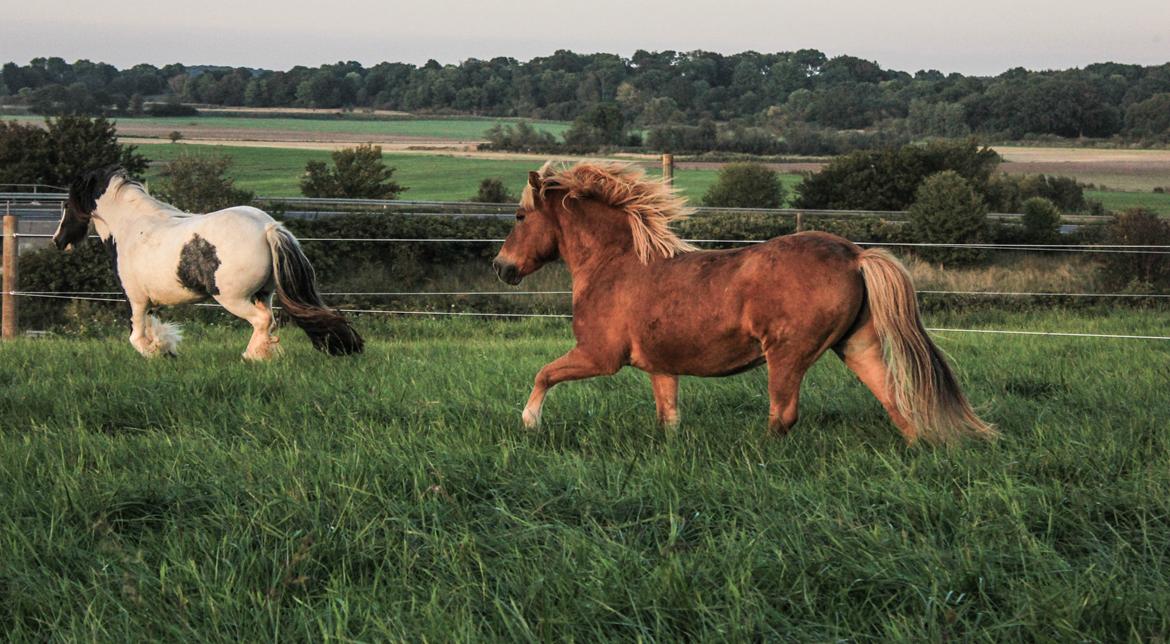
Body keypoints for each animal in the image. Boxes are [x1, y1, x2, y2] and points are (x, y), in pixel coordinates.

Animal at [51, 165, 360, 358]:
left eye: (66, 205)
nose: (58, 241)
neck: (131, 228)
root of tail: (267, 227)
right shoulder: (151, 303)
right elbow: (155, 329)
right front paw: (166, 349)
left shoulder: (136, 300)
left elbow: (137, 337)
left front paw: (156, 355)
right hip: (263, 293)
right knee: (269, 323)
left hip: (233, 298)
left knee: (262, 321)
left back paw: (250, 357)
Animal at [493, 162, 996, 444]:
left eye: (519, 216)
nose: (501, 267)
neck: (616, 264)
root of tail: (855, 254)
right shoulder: (661, 366)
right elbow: (668, 415)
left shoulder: (599, 356)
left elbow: (544, 374)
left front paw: (528, 423)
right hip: (857, 346)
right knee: (895, 401)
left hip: (788, 353)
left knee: (784, 414)